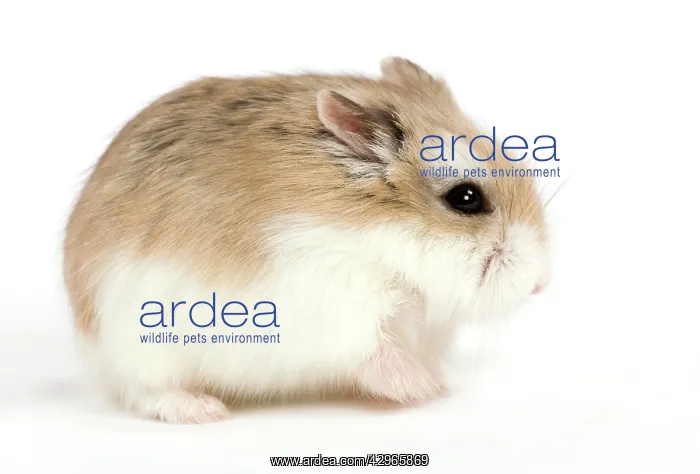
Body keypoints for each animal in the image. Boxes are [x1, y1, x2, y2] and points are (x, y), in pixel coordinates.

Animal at [63, 57, 550, 423]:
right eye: (466, 198)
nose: (540, 285)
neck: (391, 248)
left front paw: (440, 385)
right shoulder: (334, 300)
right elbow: (373, 351)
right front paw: (424, 388)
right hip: (140, 345)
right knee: (145, 392)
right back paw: (205, 410)